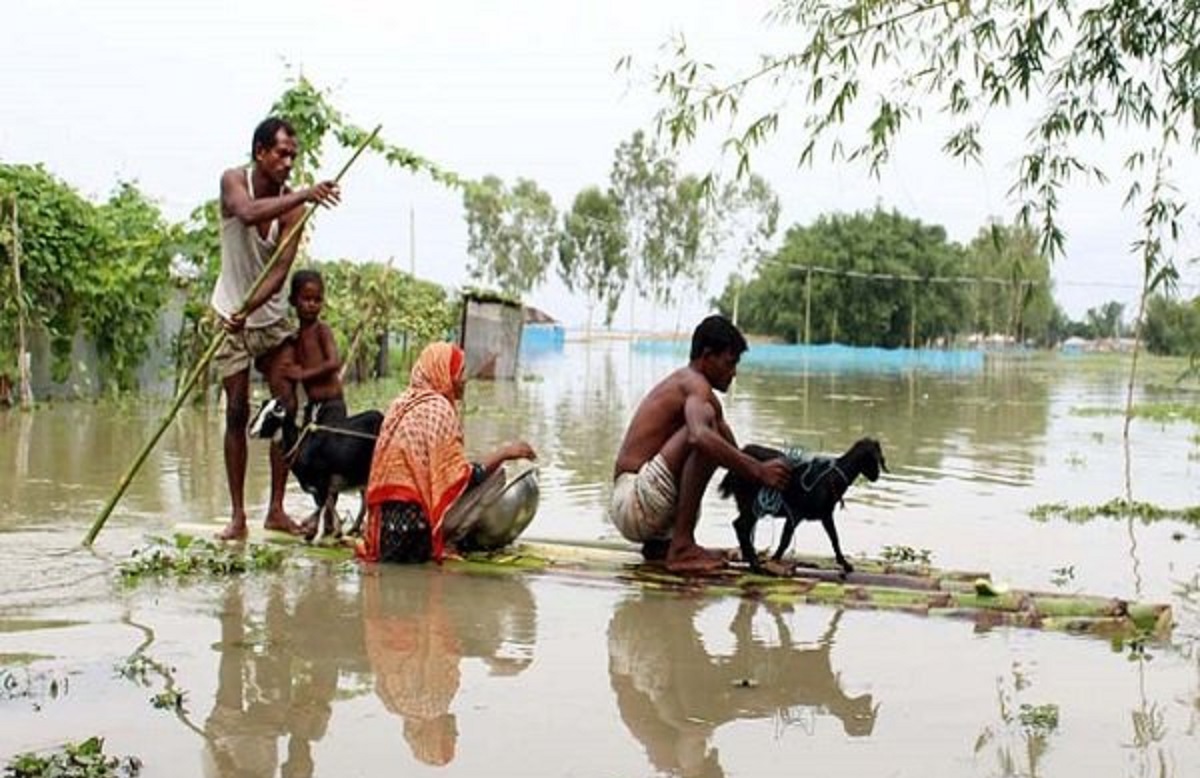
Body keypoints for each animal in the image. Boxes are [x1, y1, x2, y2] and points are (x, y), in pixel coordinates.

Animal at [249, 398, 384, 537]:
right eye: (260, 411)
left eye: (270, 415)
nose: (251, 431)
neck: (301, 446)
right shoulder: (323, 485)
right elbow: (329, 503)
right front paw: (336, 531)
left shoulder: (321, 481)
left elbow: (322, 505)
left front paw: (311, 531)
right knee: (365, 500)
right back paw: (354, 529)